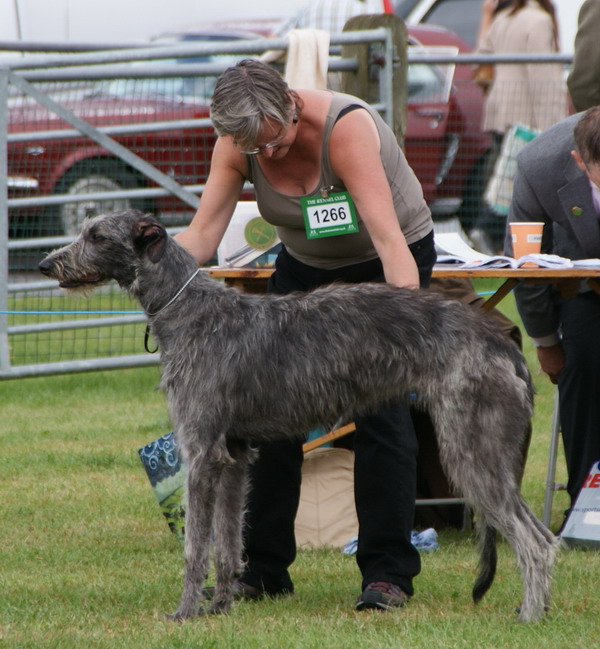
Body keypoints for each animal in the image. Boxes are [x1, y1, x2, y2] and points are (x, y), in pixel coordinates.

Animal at [38, 210, 556, 620]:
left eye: (96, 235)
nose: (46, 264)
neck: (189, 310)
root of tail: (500, 344)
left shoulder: (200, 453)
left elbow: (195, 546)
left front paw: (185, 612)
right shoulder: (233, 455)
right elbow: (228, 541)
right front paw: (220, 605)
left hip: (470, 450)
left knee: (536, 541)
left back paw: (528, 617)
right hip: (489, 455)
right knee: (541, 534)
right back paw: (537, 607)